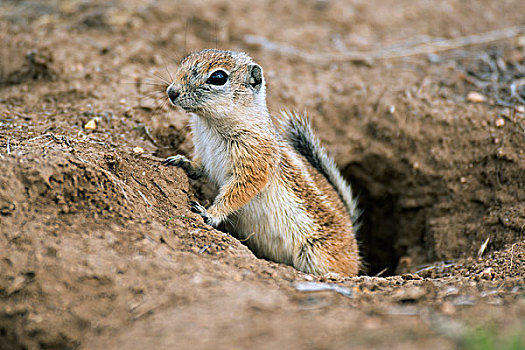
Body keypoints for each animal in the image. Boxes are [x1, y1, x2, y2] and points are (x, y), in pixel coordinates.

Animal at [164, 49, 360, 278]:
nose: (171, 92)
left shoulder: (255, 162)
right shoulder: (204, 153)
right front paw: (182, 161)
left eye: (218, 77)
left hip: (316, 253)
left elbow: (239, 191)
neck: (209, 125)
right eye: (183, 61)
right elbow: (199, 167)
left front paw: (210, 213)